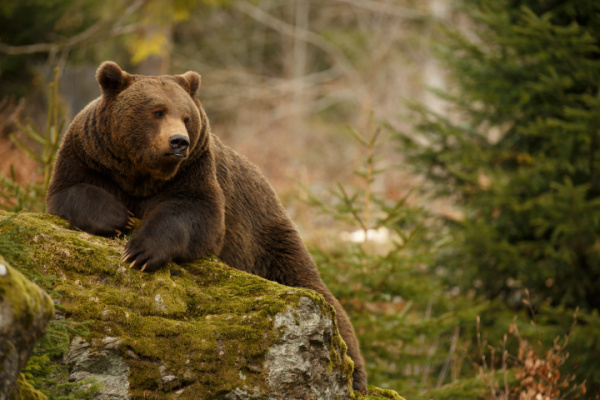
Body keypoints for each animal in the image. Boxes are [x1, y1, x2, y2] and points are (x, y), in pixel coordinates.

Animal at [45, 62, 366, 390]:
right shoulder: (88, 156)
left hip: (268, 240)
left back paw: (354, 374)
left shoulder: (194, 172)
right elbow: (69, 191)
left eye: (186, 117)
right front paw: (118, 218)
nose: (179, 141)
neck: (141, 174)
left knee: (323, 301)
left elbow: (196, 215)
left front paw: (141, 251)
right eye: (157, 111)